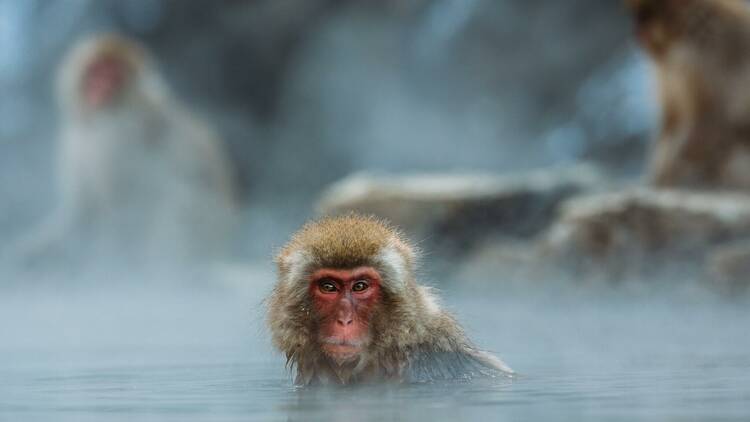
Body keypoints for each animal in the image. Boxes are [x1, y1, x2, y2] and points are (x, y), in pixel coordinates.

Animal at [628, 0, 750, 189]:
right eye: (636, 15)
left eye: (646, 15)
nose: (638, 34)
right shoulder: (669, 70)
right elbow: (671, 119)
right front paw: (656, 176)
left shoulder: (704, 60)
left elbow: (710, 122)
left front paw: (667, 174)